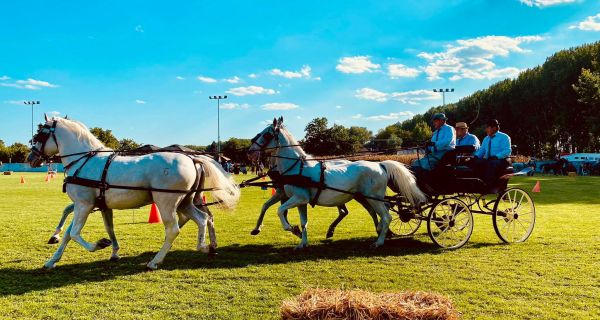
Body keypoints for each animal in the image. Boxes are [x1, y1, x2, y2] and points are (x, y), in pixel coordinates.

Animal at [27, 116, 239, 268]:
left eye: (39, 135)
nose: (30, 158)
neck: (84, 160)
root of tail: (192, 158)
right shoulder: (96, 206)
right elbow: (84, 232)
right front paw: (53, 260)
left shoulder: (83, 205)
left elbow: (75, 233)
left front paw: (99, 244)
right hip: (186, 201)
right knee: (203, 218)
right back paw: (204, 246)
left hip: (166, 202)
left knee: (173, 229)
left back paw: (155, 261)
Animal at [246, 118, 424, 250]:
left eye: (266, 134)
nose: (249, 151)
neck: (297, 167)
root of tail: (380, 164)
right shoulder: (300, 201)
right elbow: (303, 221)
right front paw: (302, 242)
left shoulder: (298, 198)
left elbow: (279, 210)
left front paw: (292, 229)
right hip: (366, 198)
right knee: (380, 213)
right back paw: (380, 232)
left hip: (372, 197)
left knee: (386, 216)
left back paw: (378, 242)